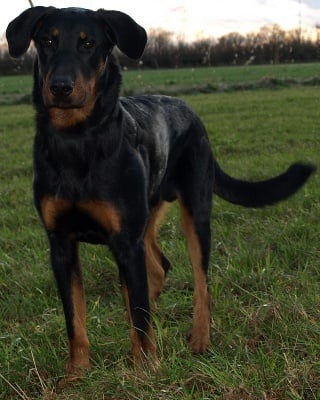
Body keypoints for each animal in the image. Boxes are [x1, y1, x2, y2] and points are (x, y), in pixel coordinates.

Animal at [6, 7, 316, 378]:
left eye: (88, 44)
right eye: (47, 41)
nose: (60, 86)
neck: (76, 140)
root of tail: (191, 112)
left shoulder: (126, 241)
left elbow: (140, 317)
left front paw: (145, 372)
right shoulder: (61, 243)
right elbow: (75, 318)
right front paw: (77, 373)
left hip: (195, 212)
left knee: (200, 283)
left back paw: (200, 340)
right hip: (148, 217)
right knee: (156, 271)